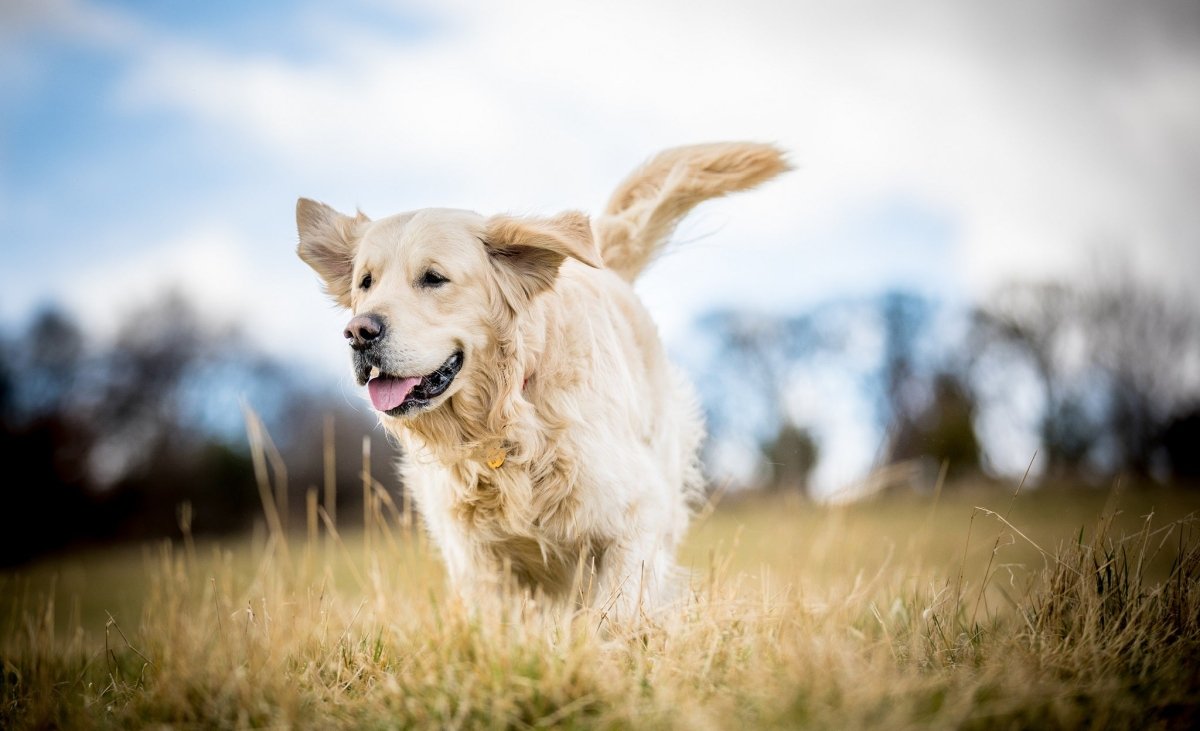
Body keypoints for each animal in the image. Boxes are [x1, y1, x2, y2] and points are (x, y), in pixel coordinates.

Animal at [296, 142, 792, 614]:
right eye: (366, 282)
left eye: (434, 278)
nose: (359, 332)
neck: (508, 415)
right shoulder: (477, 561)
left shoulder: (637, 516)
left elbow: (615, 613)